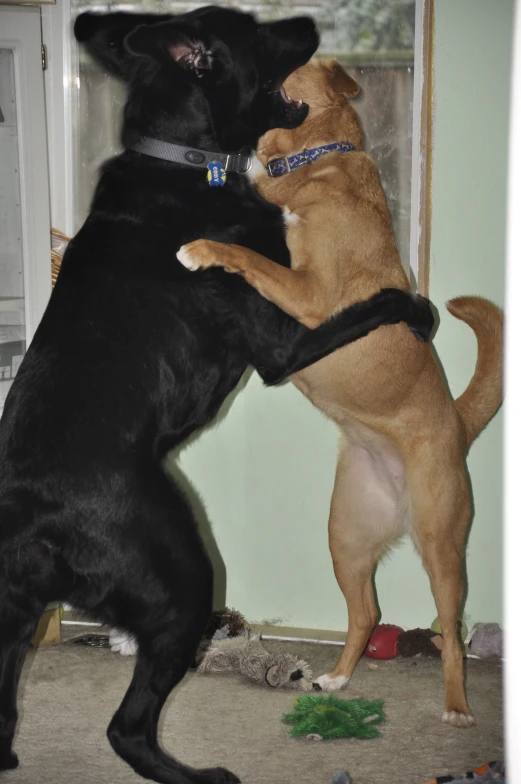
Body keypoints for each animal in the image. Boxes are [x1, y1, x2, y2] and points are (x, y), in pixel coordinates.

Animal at [0, 7, 430, 784]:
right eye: (255, 31)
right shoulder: (283, 345)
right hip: (182, 581)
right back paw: (199, 775)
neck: (180, 159)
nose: (309, 19)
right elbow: (372, 303)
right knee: (127, 728)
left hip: (13, 619)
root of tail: (30, 515)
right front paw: (415, 309)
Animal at [177, 61, 502, 728]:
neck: (315, 159)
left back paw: (456, 706)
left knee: (452, 634)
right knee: (367, 613)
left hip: (442, 549)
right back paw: (337, 678)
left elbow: (243, 254)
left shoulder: (307, 296)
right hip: (345, 541)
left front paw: (200, 249)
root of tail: (458, 424)